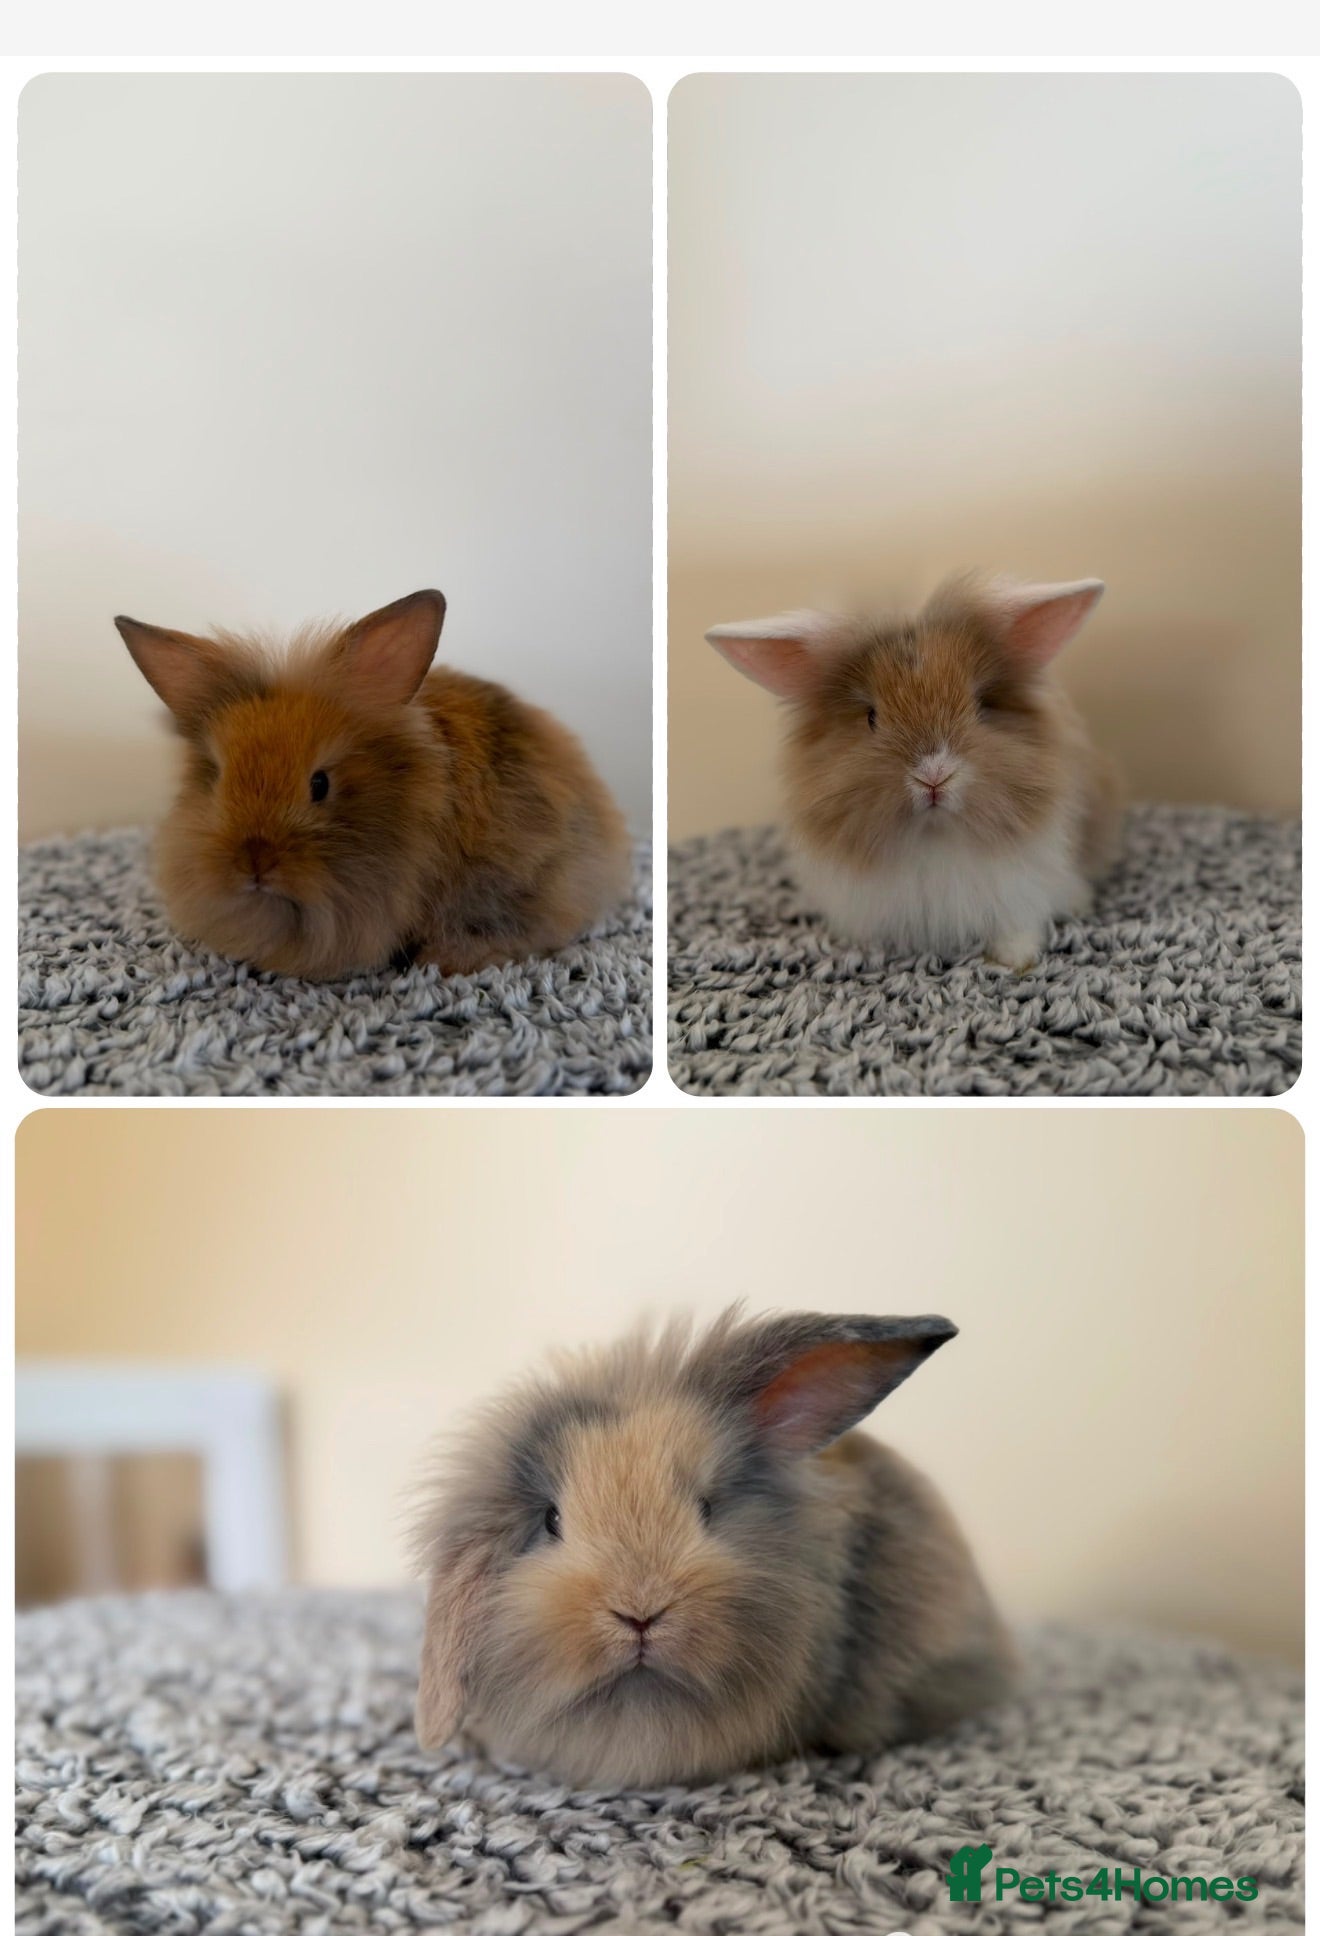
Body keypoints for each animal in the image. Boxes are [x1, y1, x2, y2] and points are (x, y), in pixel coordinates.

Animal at [707, 573, 1122, 970]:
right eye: (871, 717)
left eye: (982, 705)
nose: (934, 775)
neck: (934, 838)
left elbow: (1018, 924)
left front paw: (1015, 959)